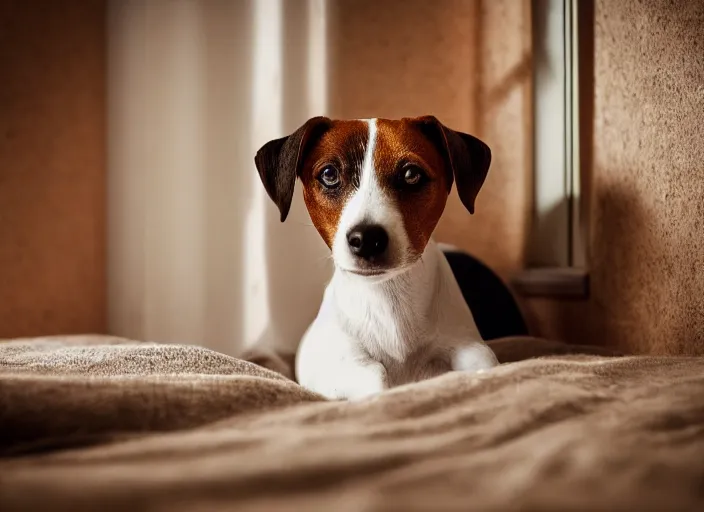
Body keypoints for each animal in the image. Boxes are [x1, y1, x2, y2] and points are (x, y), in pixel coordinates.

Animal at [256, 116, 498, 400]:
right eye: (329, 174)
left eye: (411, 174)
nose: (367, 238)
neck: (388, 297)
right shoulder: (334, 364)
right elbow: (374, 373)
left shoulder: (468, 344)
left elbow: (483, 361)